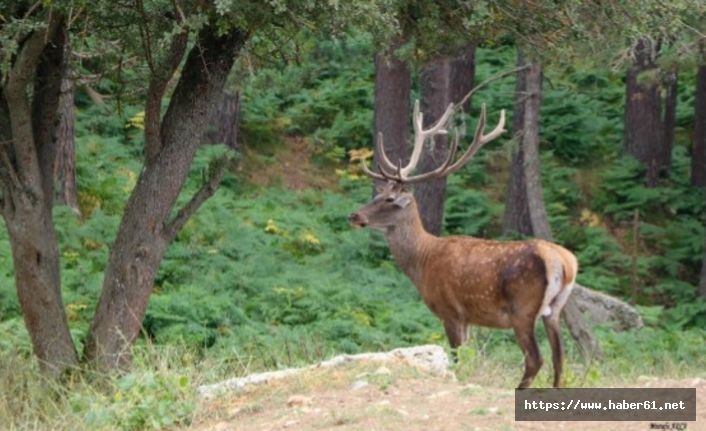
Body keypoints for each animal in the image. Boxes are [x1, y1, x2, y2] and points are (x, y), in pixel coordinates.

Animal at [348, 99, 576, 390]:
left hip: (522, 309)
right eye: (379, 194)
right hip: (554, 311)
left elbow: (457, 359)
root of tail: (563, 262)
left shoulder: (450, 311)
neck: (422, 261)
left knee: (536, 359)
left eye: (388, 199)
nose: (354, 215)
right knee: (560, 360)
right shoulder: (468, 318)